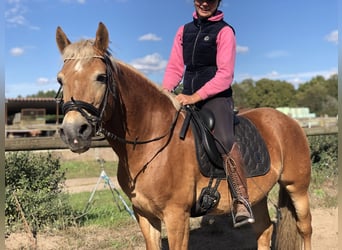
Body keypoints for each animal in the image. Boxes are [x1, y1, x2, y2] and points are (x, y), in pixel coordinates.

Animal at [54, 22, 312, 249]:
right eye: (60, 79)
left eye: (101, 77)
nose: (74, 132)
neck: (151, 142)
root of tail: (289, 121)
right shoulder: (144, 215)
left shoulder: (176, 215)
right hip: (257, 196)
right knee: (264, 230)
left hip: (297, 188)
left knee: (305, 228)